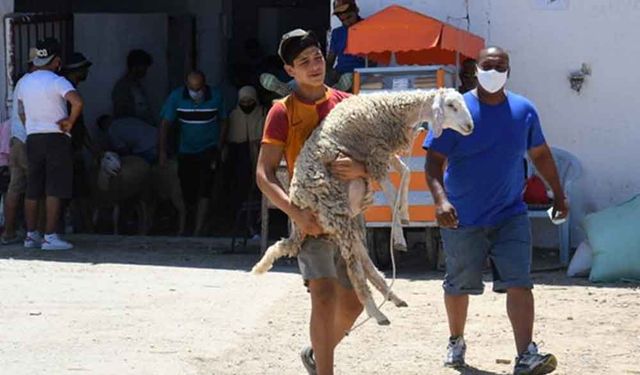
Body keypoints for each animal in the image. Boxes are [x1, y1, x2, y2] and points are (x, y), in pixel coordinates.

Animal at [255, 89, 476, 326]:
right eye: (452, 105)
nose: (470, 127)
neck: (393, 110)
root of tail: (296, 203)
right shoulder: (375, 157)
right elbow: (392, 194)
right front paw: (399, 235)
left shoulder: (383, 153)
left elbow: (406, 173)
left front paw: (405, 214)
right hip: (335, 215)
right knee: (354, 270)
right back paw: (377, 313)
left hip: (347, 219)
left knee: (363, 260)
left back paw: (392, 296)